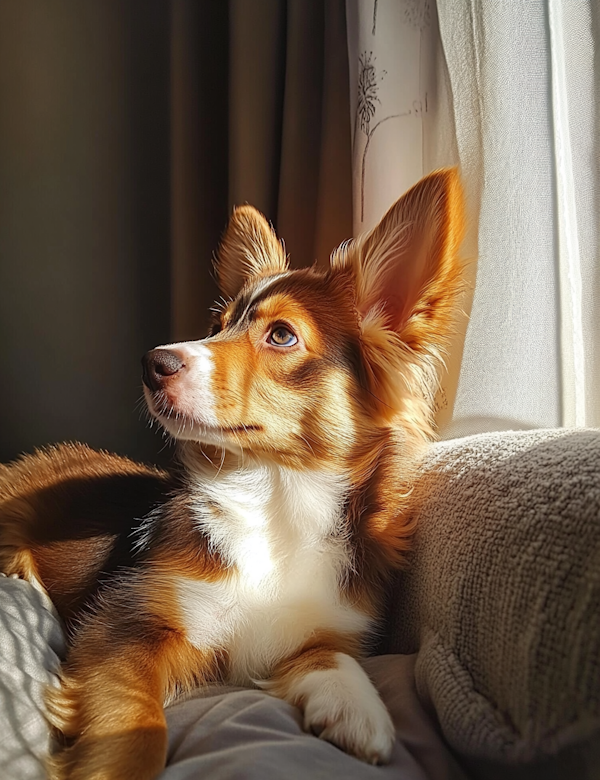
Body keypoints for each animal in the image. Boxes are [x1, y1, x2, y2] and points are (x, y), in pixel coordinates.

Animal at [0, 169, 464, 780]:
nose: (150, 362)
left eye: (282, 335)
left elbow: (331, 655)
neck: (274, 499)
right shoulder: (124, 627)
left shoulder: (319, 625)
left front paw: (359, 710)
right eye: (216, 327)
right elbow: (134, 729)